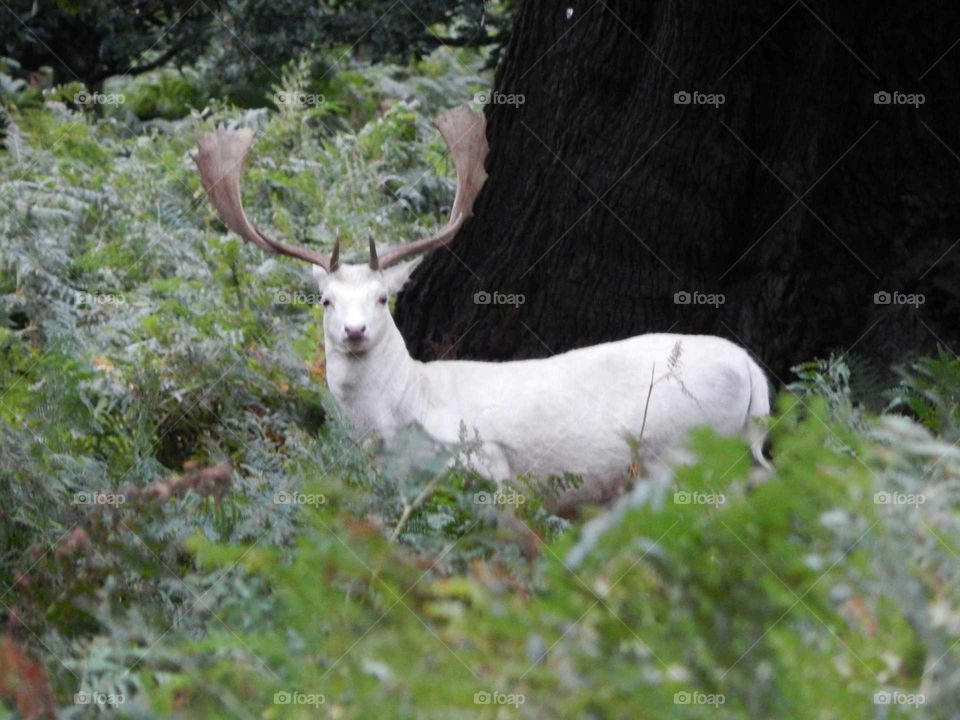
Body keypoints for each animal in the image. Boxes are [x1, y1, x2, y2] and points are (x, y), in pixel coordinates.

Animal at [192, 105, 771, 508]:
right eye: (326, 299)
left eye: (383, 297)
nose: (355, 331)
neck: (398, 414)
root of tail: (751, 371)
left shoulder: (485, 463)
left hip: (690, 448)